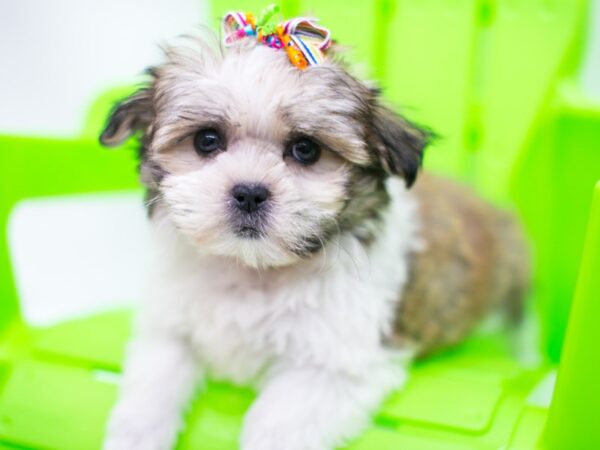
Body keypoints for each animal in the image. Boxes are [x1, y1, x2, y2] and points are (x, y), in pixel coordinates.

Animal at [99, 17, 528, 450]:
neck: (253, 271)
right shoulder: (169, 327)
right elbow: (152, 385)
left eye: (306, 149)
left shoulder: (332, 368)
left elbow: (274, 424)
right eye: (207, 140)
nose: (249, 192)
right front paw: (134, 436)